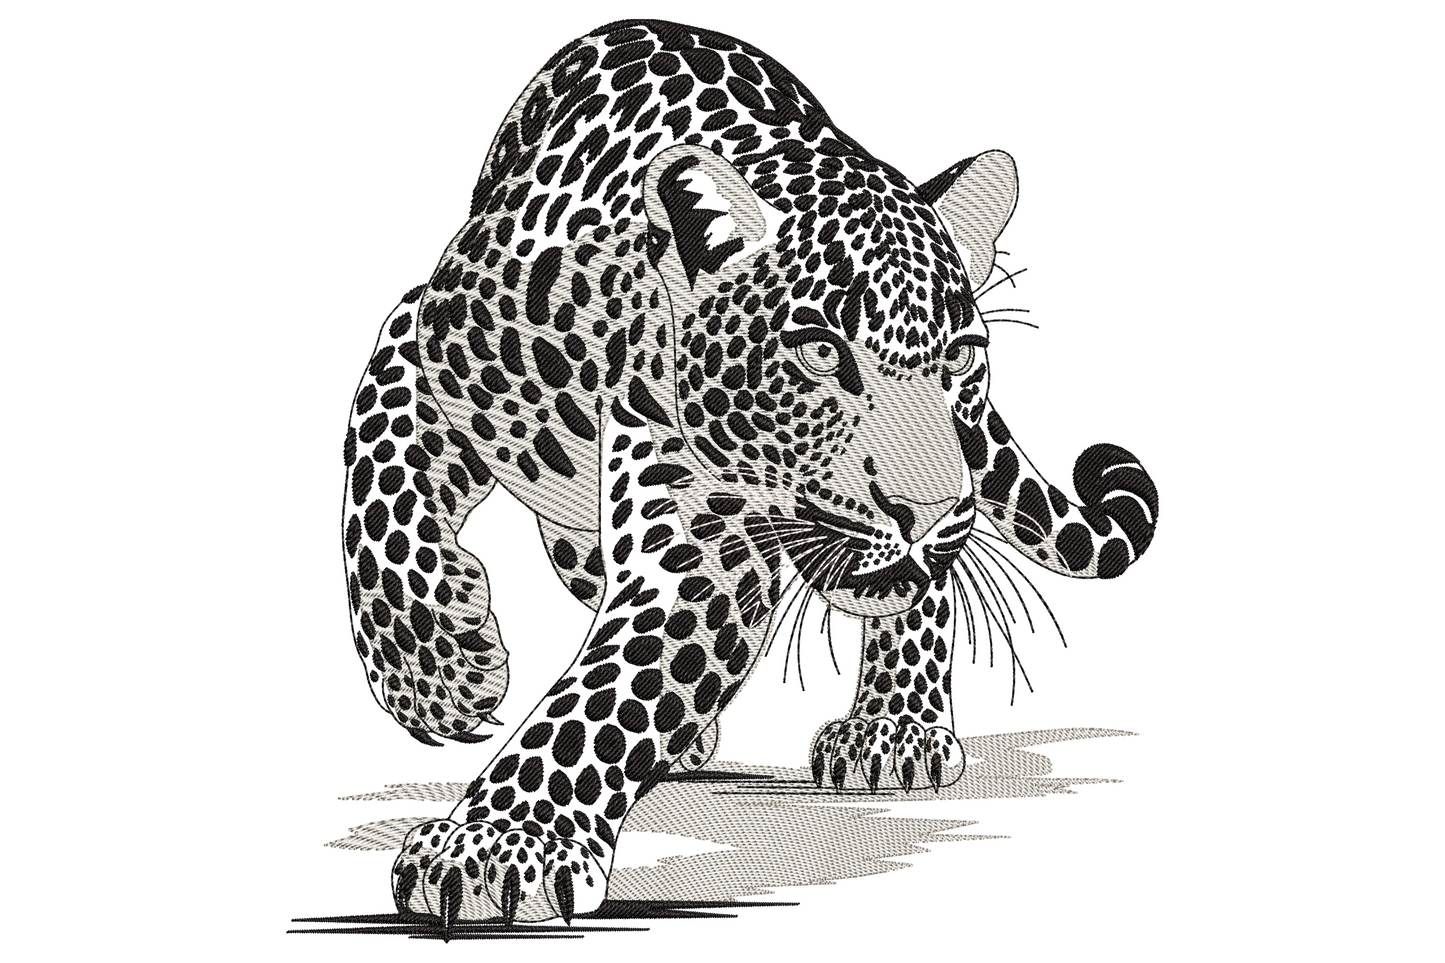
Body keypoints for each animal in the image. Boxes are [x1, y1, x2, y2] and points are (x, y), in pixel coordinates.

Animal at [340, 18, 1159, 930]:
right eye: (819, 351)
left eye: (957, 358)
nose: (925, 509)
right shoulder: (421, 334)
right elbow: (376, 485)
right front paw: (437, 675)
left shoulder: (709, 543)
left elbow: (606, 692)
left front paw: (497, 841)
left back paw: (894, 728)